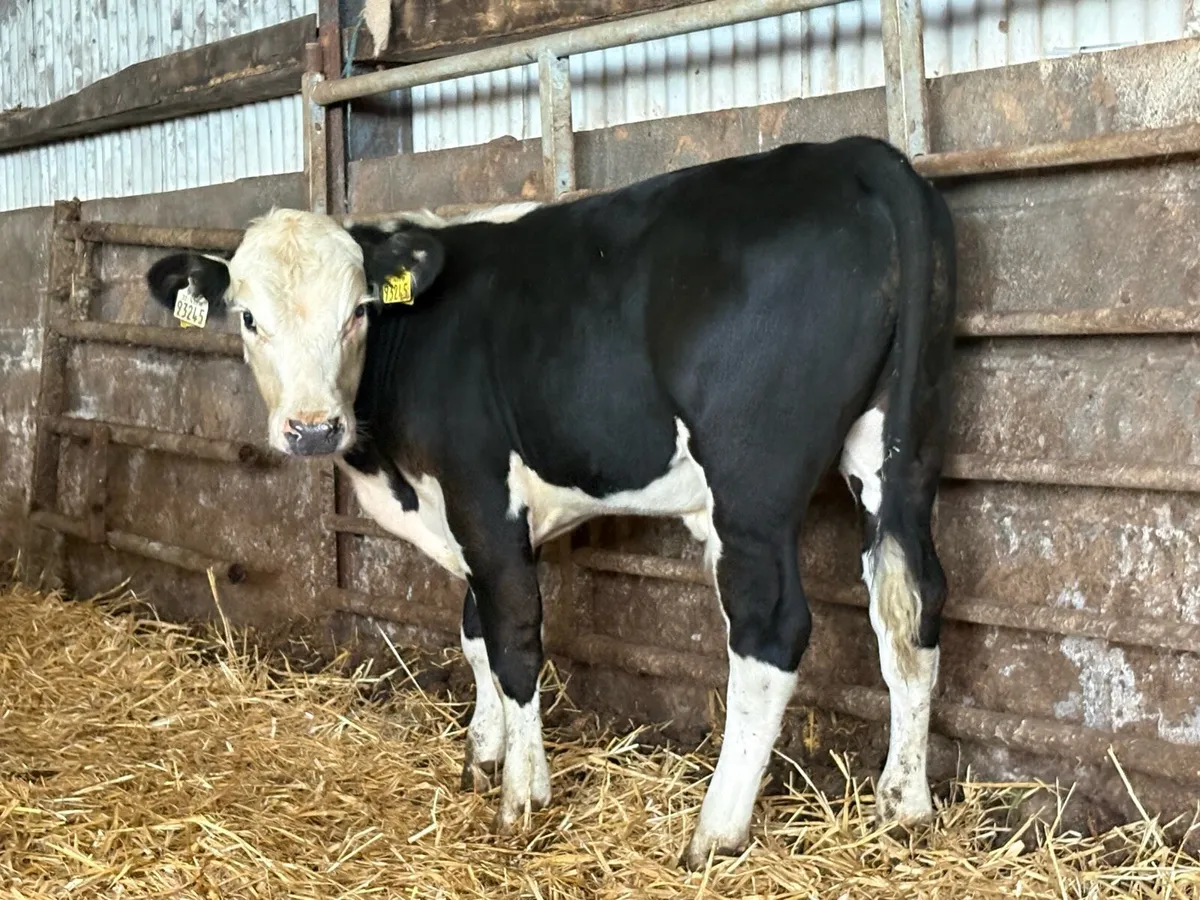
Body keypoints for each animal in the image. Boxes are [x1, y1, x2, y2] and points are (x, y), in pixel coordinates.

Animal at [145, 136, 957, 869]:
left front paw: (522, 797)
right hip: (901, 450)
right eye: (249, 318)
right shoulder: (468, 516)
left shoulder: (480, 491)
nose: (313, 428)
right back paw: (903, 807)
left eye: (358, 313)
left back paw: (716, 830)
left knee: (770, 630)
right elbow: (474, 629)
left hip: (752, 484)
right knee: (911, 603)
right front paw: (483, 756)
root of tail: (852, 152)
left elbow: (512, 640)